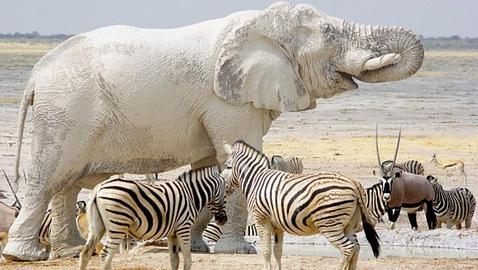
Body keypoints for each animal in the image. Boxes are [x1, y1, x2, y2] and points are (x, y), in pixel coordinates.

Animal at [79, 166, 228, 270]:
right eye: (226, 193)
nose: (223, 220)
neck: (190, 195)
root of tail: (99, 187)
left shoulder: (172, 234)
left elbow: (174, 261)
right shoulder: (183, 228)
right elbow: (188, 260)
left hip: (98, 227)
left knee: (85, 253)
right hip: (118, 225)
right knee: (105, 256)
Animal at [222, 141, 380, 270]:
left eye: (228, 167)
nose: (223, 185)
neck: (256, 180)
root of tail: (353, 183)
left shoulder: (261, 220)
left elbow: (266, 251)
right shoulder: (277, 225)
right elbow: (278, 251)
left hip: (329, 223)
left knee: (348, 248)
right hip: (349, 224)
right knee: (356, 248)